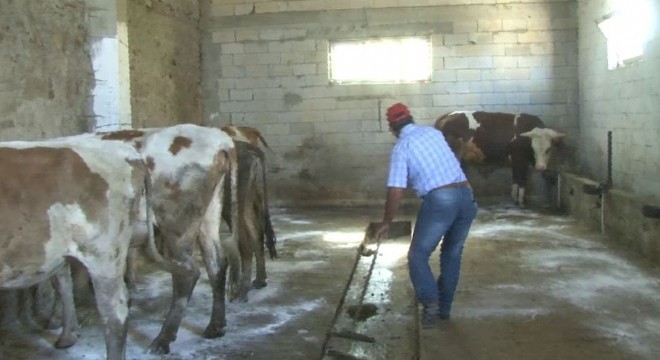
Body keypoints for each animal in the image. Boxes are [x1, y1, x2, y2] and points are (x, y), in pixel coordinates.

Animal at [100, 125, 240, 356]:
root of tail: (219, 139)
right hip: (210, 211)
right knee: (216, 262)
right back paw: (215, 327)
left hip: (177, 223)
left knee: (187, 274)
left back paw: (162, 339)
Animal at [436, 112, 564, 207]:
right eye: (533, 148)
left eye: (548, 149)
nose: (540, 167)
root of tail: (448, 115)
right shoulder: (521, 160)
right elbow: (522, 179)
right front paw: (521, 201)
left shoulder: (516, 162)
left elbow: (515, 178)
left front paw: (514, 198)